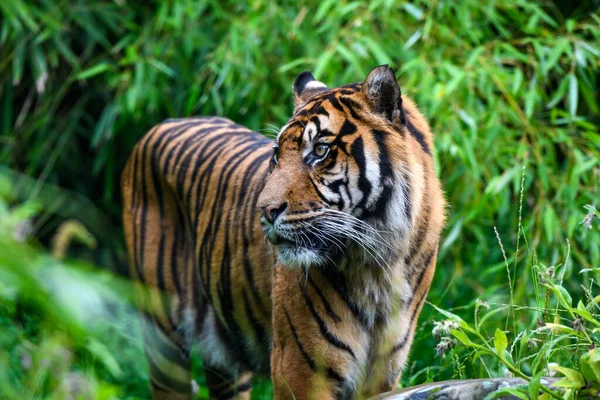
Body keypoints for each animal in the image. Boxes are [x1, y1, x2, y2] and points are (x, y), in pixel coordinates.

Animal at [122, 66, 446, 400]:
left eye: (320, 150)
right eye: (277, 155)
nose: (264, 210)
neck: (378, 261)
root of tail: (162, 124)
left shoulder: (382, 374)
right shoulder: (300, 368)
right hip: (163, 341)